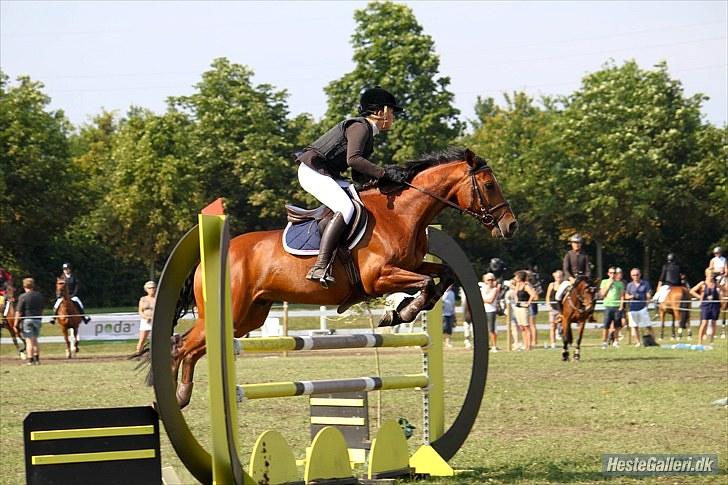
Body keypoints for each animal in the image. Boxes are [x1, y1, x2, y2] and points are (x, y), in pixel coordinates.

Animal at [166, 148, 518, 408]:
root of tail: (206, 259)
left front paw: (402, 311)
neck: (400, 214)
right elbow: (427, 283)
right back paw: (174, 397)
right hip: (231, 312)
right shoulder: (379, 278)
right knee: (182, 345)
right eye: (489, 185)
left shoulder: (413, 265)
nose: (511, 226)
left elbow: (442, 276)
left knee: (193, 347)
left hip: (247, 318)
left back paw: (180, 394)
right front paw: (401, 311)